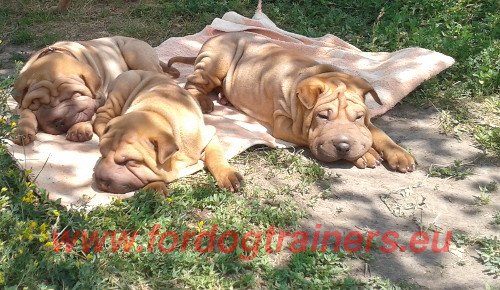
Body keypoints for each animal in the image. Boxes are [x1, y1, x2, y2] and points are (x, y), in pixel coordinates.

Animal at [11, 35, 177, 145]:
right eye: (38, 103)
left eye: (76, 95)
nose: (62, 121)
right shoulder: (22, 105)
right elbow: (25, 115)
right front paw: (22, 131)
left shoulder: (99, 98)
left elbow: (89, 111)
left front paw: (79, 129)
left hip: (134, 52)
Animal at [92, 70, 244, 195]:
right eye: (102, 153)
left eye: (130, 161)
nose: (99, 179)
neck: (156, 114)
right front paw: (155, 187)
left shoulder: (208, 134)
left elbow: (216, 156)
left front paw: (227, 175)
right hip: (123, 86)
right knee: (102, 115)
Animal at [170, 31, 416, 172]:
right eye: (322, 116)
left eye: (358, 117)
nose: (344, 146)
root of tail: (212, 39)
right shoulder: (285, 124)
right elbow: (308, 135)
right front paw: (366, 154)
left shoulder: (366, 122)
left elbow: (379, 134)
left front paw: (400, 154)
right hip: (218, 61)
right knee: (192, 83)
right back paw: (204, 101)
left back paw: (225, 97)